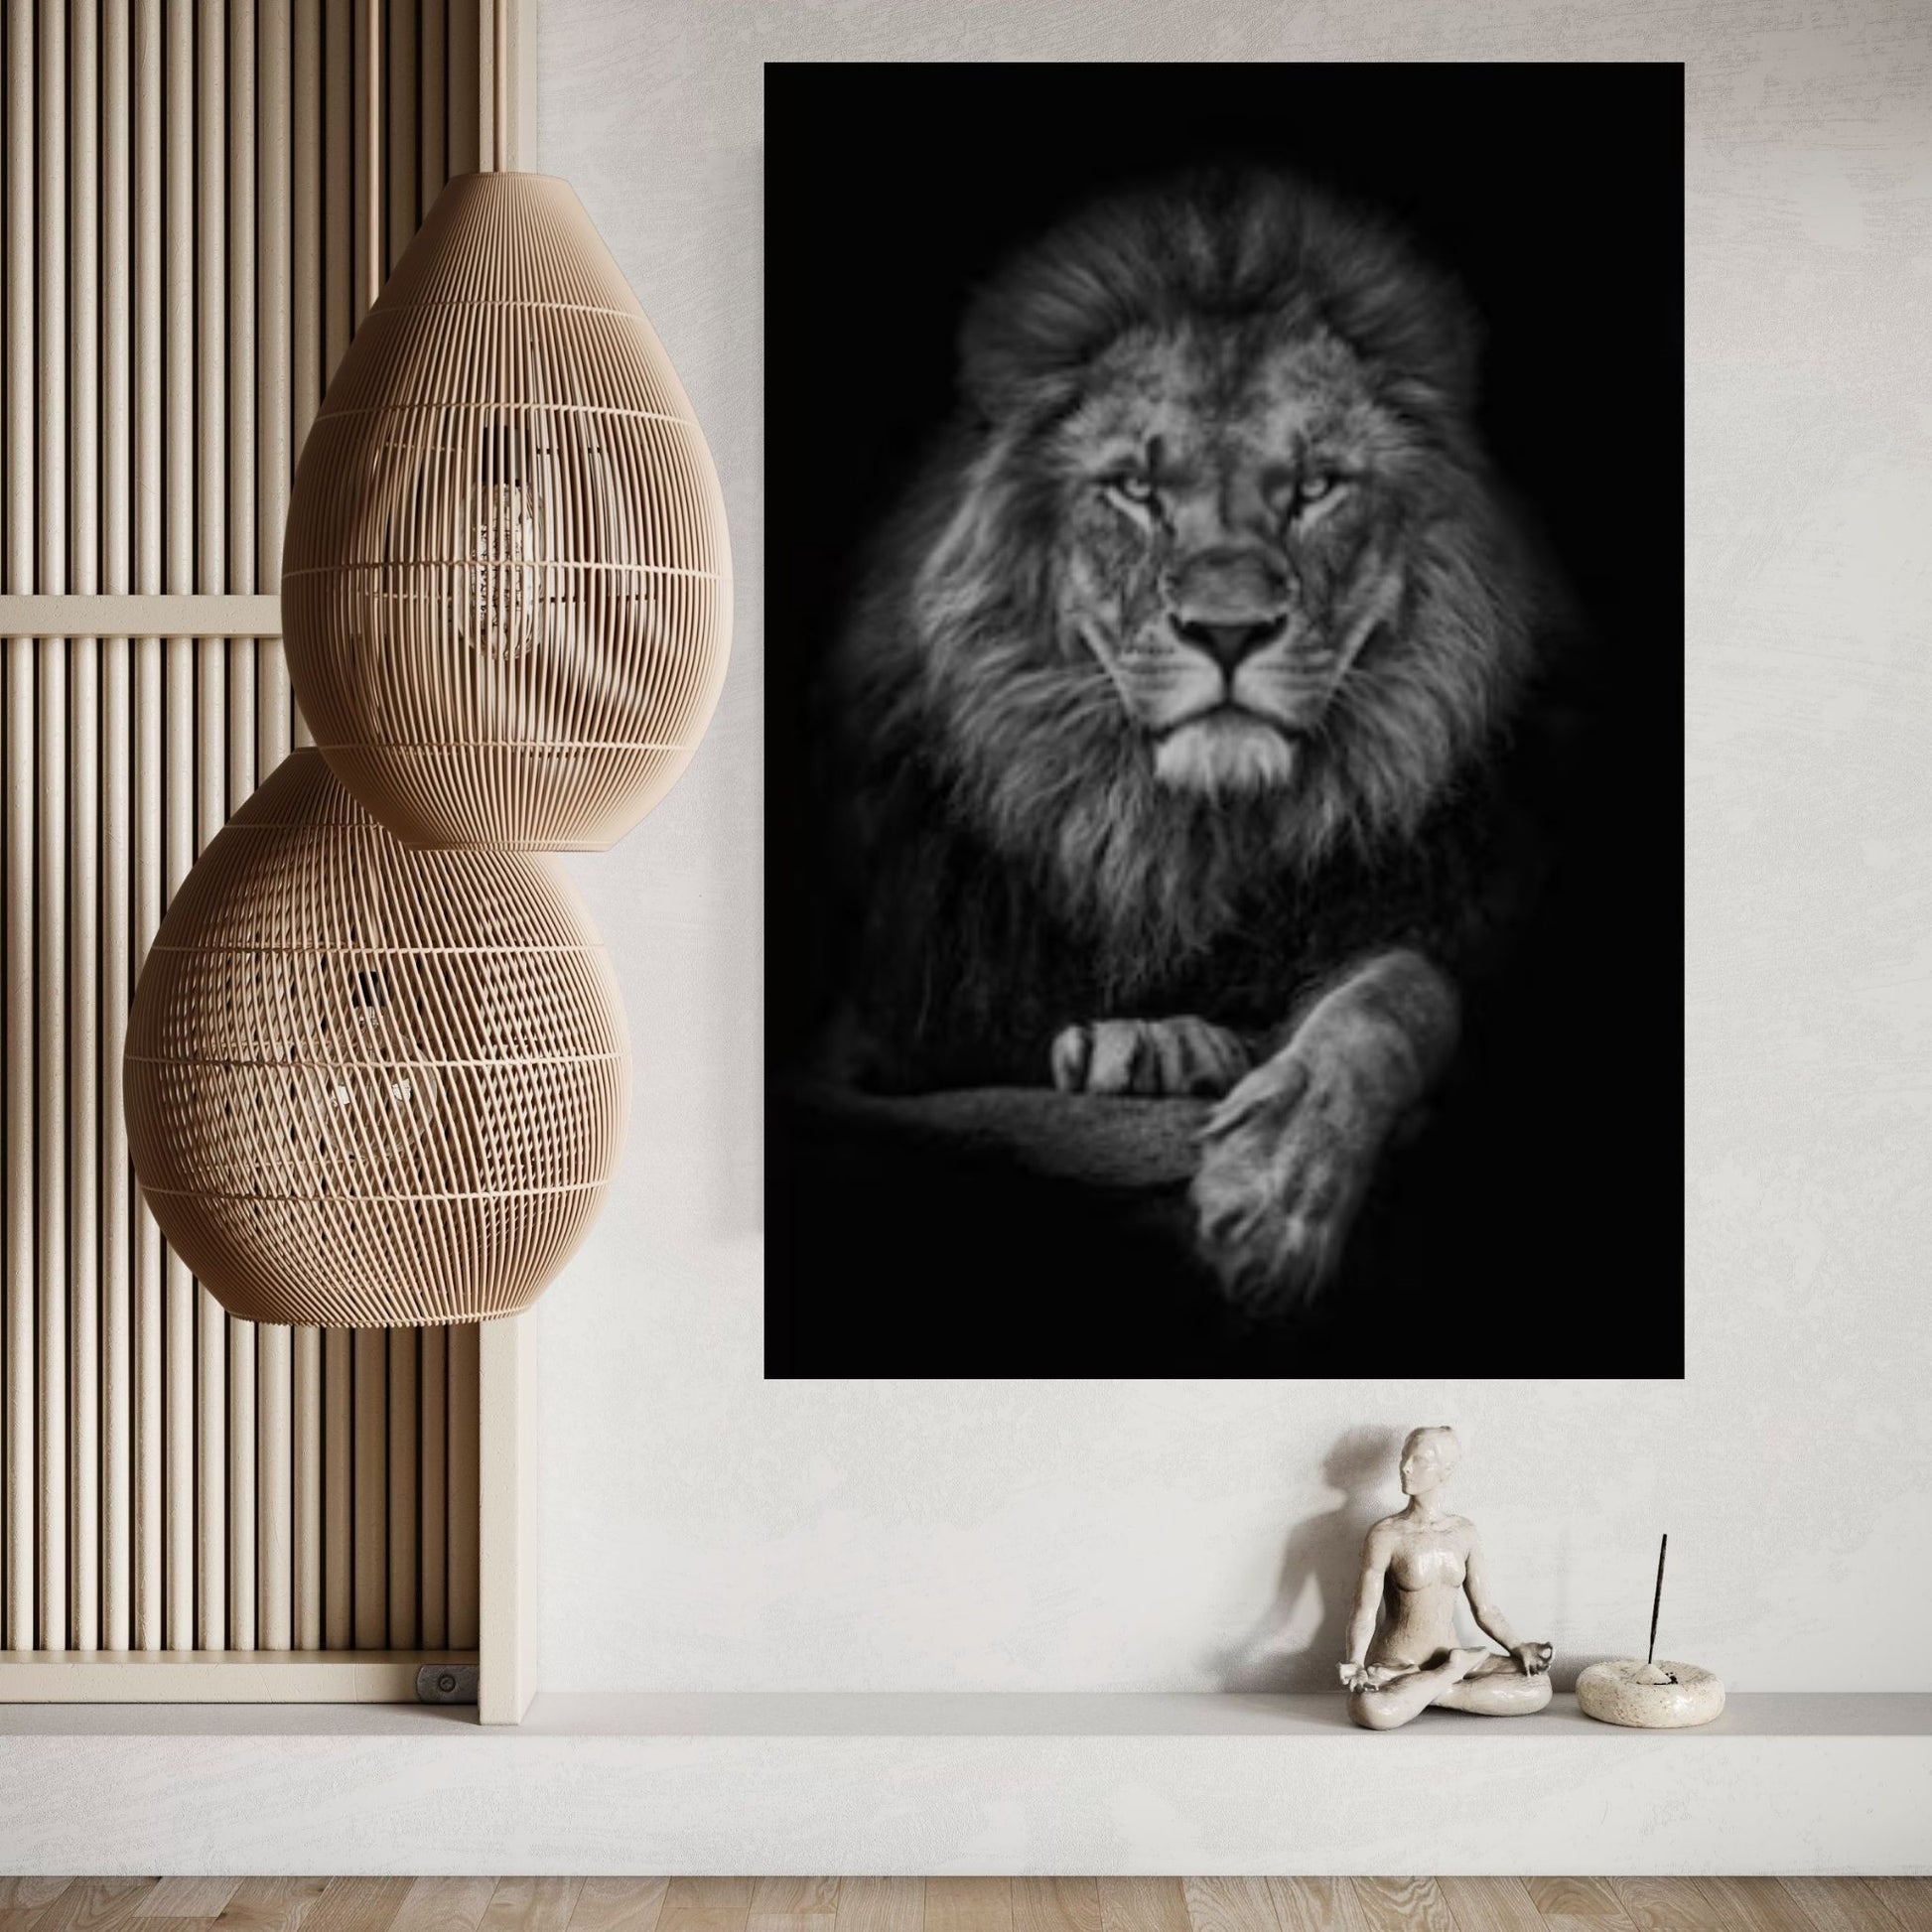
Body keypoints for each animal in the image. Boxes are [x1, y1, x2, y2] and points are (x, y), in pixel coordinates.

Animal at [811, 169, 1546, 1311]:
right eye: (1135, 489)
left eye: (1314, 487)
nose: (1228, 630)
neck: (1189, 838)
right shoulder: (877, 1036)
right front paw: (1146, 1043)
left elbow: (1399, 991)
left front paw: (1275, 1190)